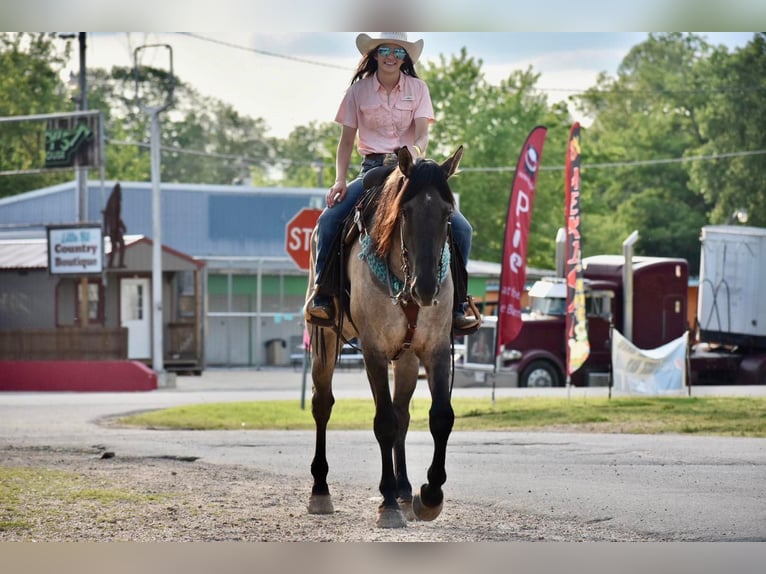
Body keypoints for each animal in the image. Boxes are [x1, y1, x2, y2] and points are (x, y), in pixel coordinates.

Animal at [304, 145, 462, 532]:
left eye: (447, 213)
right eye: (405, 211)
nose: (426, 288)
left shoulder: (435, 349)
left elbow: (439, 417)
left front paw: (428, 496)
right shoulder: (373, 351)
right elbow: (384, 422)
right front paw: (387, 503)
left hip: (405, 356)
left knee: (403, 413)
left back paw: (405, 491)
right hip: (324, 341)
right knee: (322, 405)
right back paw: (321, 490)